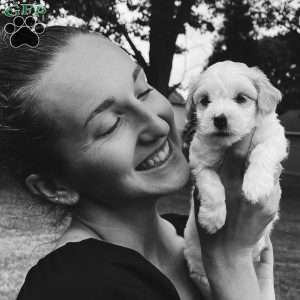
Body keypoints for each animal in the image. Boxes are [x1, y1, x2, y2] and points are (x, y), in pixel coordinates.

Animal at [183, 61, 288, 296]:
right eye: (205, 101)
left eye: (241, 98)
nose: (219, 119)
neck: (229, 145)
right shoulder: (199, 162)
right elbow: (211, 184)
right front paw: (212, 218)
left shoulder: (273, 138)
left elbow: (262, 152)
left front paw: (256, 186)